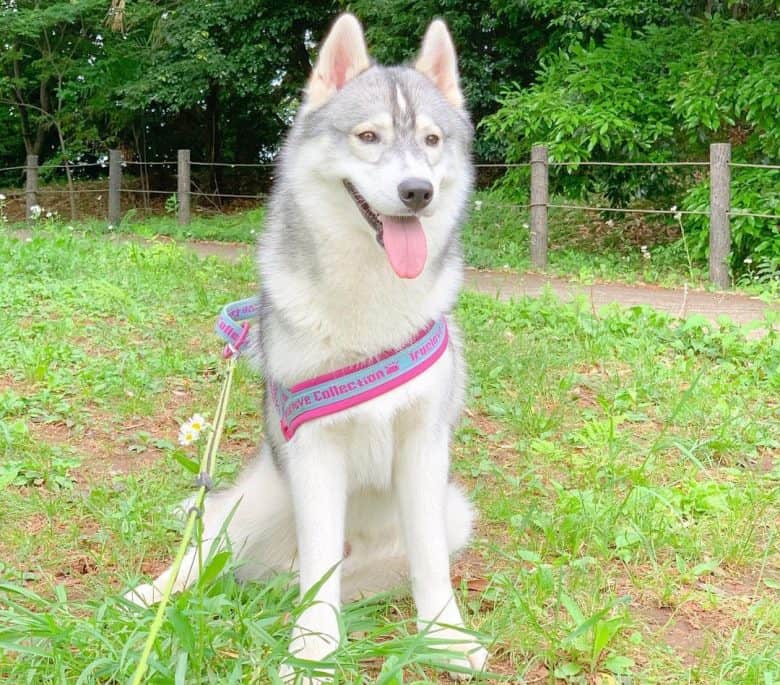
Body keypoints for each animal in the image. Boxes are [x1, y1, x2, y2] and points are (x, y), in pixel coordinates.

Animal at [127, 13, 488, 680]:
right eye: (368, 136)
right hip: (254, 501)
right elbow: (319, 568)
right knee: (207, 549)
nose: (418, 190)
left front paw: (445, 636)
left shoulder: (424, 449)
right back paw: (152, 594)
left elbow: (428, 563)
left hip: (453, 510)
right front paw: (315, 648)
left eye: (431, 140)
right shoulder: (315, 452)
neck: (369, 296)